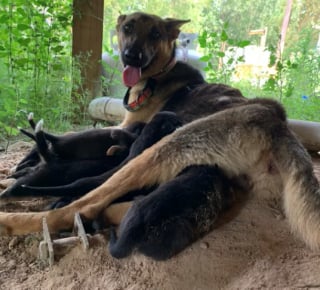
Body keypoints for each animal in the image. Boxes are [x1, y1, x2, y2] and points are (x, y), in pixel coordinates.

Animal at [0, 12, 320, 258]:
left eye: (155, 33)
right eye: (128, 28)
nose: (132, 56)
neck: (159, 74)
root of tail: (277, 124)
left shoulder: (128, 127)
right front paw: (27, 161)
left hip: (166, 148)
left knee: (79, 206)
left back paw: (16, 210)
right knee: (106, 205)